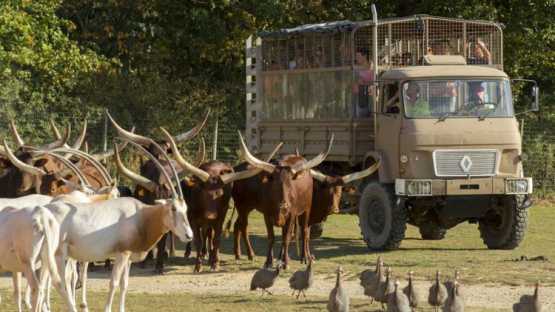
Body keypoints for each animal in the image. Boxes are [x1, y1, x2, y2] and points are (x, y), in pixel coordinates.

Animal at [236, 132, 332, 268]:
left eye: (290, 184)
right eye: (275, 184)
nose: (284, 206)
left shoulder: (291, 214)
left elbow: (286, 237)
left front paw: (286, 262)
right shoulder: (267, 215)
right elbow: (271, 237)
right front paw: (268, 261)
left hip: (306, 209)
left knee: (304, 232)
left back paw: (304, 257)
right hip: (242, 207)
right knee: (243, 226)